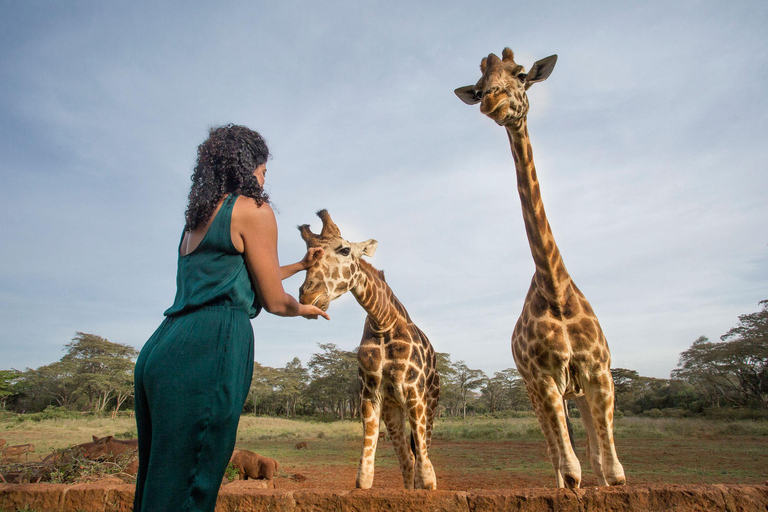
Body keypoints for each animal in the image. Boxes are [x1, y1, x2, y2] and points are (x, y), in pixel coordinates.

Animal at [298, 210, 440, 490]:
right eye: (308, 254)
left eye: (344, 249)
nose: (308, 296)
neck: (382, 321)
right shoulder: (371, 394)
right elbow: (364, 476)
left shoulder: (414, 393)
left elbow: (427, 476)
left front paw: (427, 485)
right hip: (393, 409)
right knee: (407, 460)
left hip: (430, 402)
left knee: (421, 453)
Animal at [456, 48, 624, 488]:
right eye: (478, 87)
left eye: (520, 74)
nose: (492, 102)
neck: (556, 291)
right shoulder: (544, 379)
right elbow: (570, 472)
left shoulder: (599, 373)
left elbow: (611, 472)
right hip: (535, 391)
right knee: (558, 458)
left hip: (576, 393)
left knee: (593, 457)